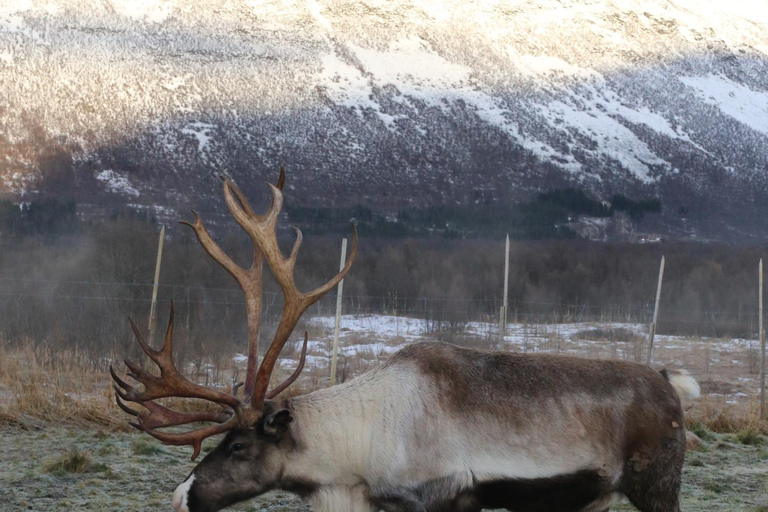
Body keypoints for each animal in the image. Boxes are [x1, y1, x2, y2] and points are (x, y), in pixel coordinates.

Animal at [112, 169, 700, 512]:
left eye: (237, 445)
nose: (180, 496)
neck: (357, 451)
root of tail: (671, 383)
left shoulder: (442, 498)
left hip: (658, 484)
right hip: (591, 500)